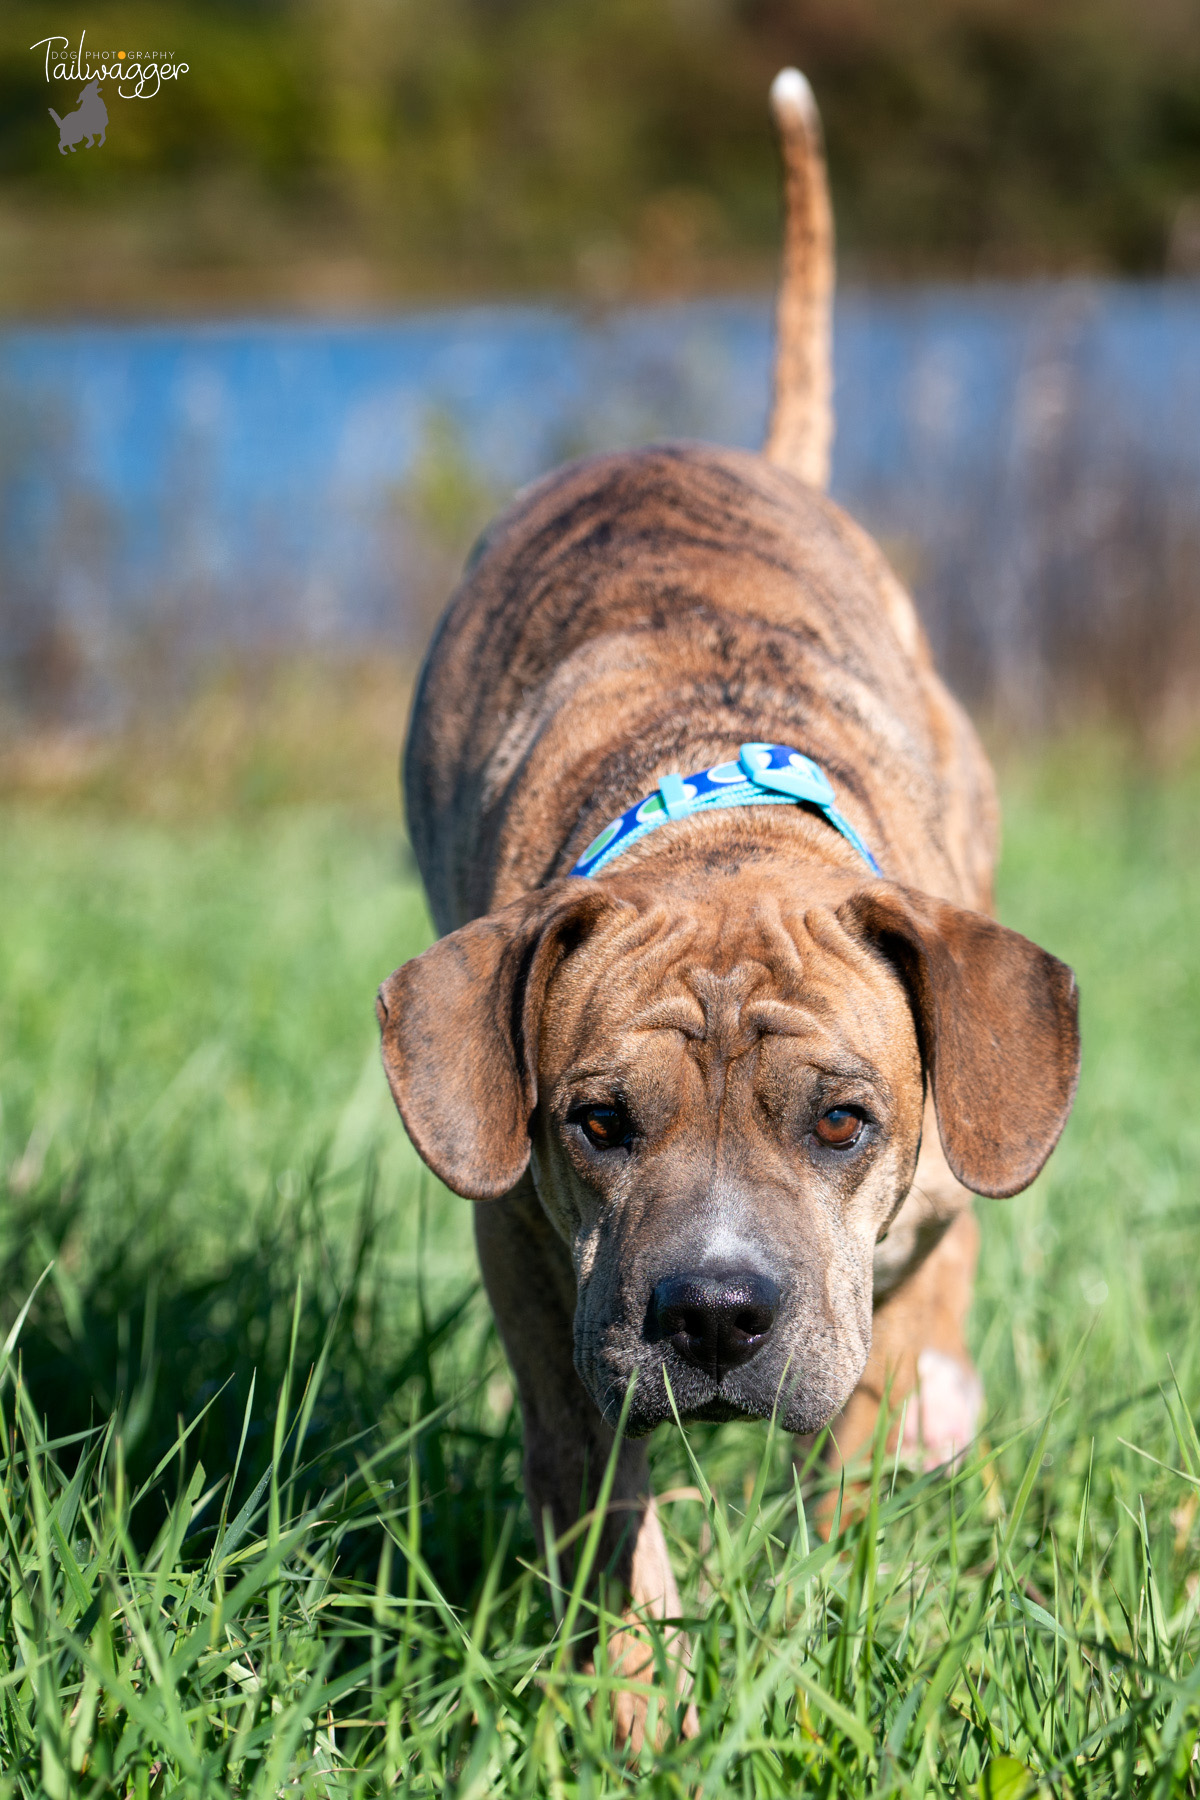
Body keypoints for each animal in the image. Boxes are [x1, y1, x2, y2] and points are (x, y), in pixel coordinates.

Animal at [376, 70, 1079, 1742]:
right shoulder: (537, 1276)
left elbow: (878, 1417)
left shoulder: (924, 1211)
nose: (711, 1316)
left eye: (844, 1121)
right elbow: (599, 1500)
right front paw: (639, 1707)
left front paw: (857, 1582)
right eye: (594, 1122)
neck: (725, 824)